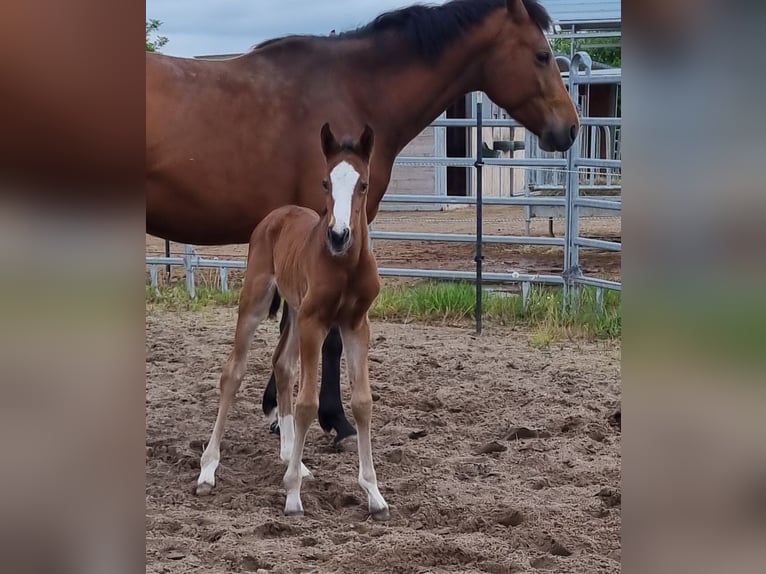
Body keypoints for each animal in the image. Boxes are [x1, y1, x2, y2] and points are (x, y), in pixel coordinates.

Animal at [146, 0, 579, 449]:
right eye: (542, 55)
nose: (570, 127)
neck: (355, 89)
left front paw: (277, 411)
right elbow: (329, 339)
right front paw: (334, 419)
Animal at [197, 123, 388, 519]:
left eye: (363, 184)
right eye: (325, 183)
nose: (339, 235)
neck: (345, 264)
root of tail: (278, 213)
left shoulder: (355, 324)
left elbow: (363, 402)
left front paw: (374, 493)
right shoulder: (317, 322)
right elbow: (307, 404)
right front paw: (293, 496)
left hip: (297, 313)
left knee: (282, 364)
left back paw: (291, 457)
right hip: (257, 302)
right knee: (233, 373)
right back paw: (208, 470)